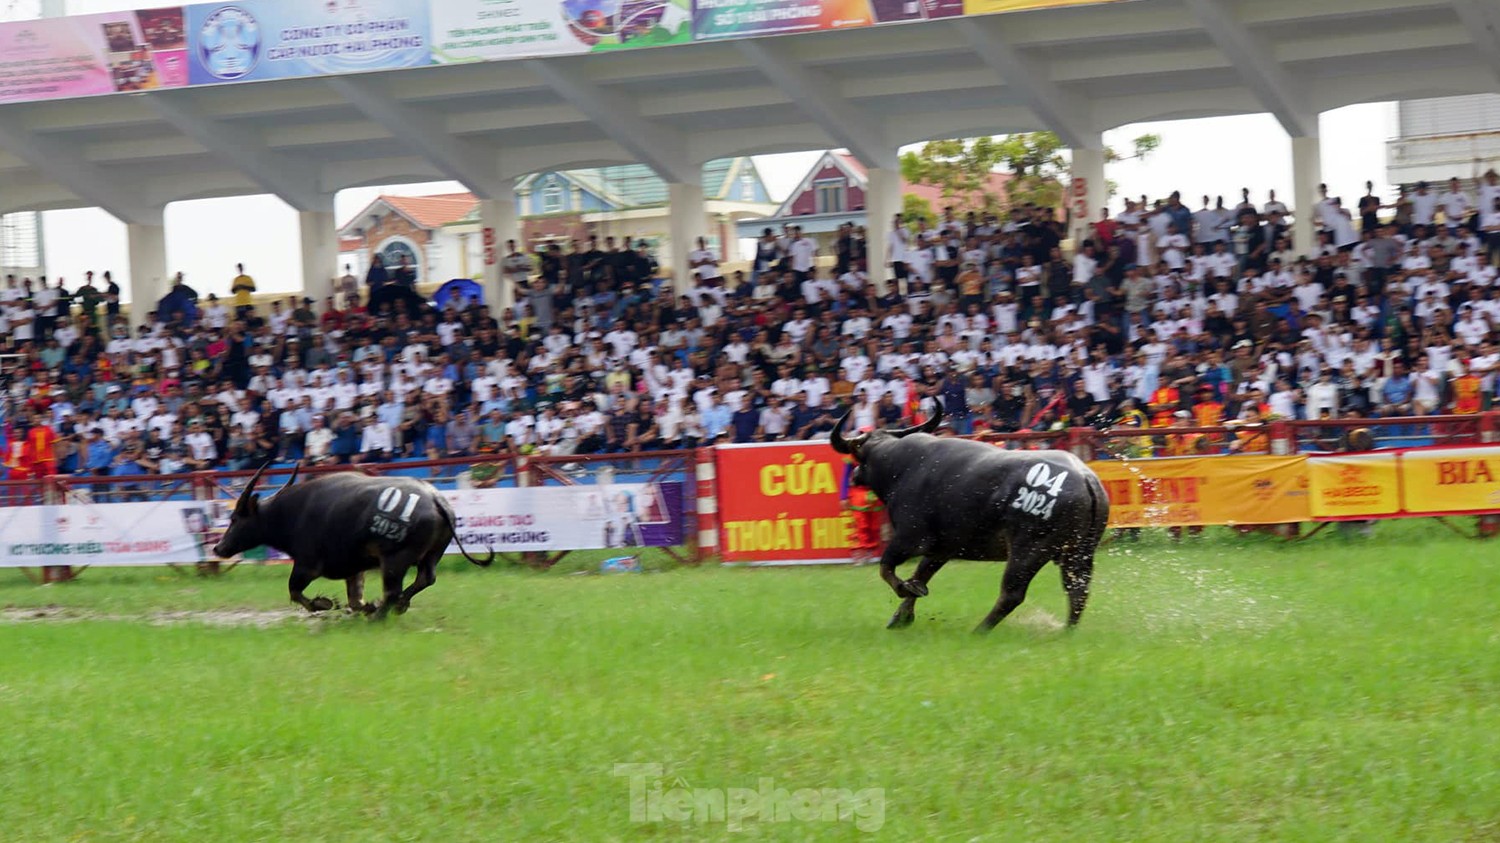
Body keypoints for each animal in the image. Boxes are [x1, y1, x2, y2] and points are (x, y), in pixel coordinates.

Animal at [214, 459, 495, 618]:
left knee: (393, 590)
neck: (289, 513)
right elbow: (354, 598)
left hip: (394, 560)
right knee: (425, 578)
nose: (218, 547)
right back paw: (396, 606)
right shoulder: (354, 568)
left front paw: (325, 603)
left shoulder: (307, 564)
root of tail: (436, 499)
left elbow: (294, 590)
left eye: (235, 519)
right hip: (431, 555)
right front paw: (364, 606)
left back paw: (381, 614)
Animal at [828, 399, 1110, 630]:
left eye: (859, 458)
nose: (853, 476)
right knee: (1078, 590)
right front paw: (902, 616)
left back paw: (980, 630)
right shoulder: (941, 549)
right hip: (1080, 553)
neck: (899, 465)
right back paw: (1066, 630)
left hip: (1028, 551)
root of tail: (1086, 478)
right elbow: (921, 574)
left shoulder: (910, 539)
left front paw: (905, 591)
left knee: (1012, 594)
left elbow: (886, 568)